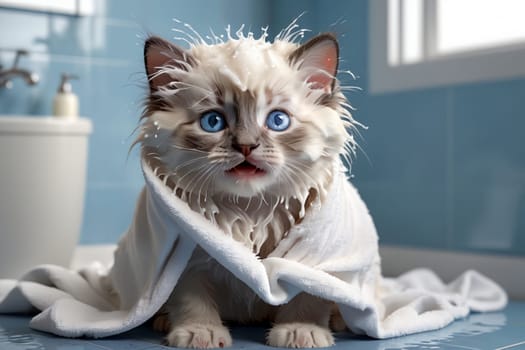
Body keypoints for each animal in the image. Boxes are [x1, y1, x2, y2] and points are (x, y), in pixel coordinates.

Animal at [137, 23, 356, 348]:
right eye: (213, 122)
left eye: (278, 121)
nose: (246, 146)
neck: (250, 210)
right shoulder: (189, 251)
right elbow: (191, 299)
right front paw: (199, 333)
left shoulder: (311, 258)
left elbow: (308, 296)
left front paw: (300, 331)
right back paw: (162, 320)